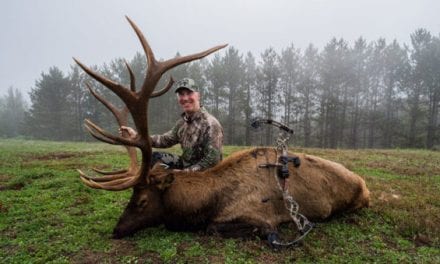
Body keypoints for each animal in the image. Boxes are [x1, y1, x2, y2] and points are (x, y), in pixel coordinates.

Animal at [74, 17, 370, 248]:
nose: (116, 230)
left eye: (143, 201)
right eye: (131, 197)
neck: (207, 203)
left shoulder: (257, 215)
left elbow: (215, 227)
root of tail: (363, 182)